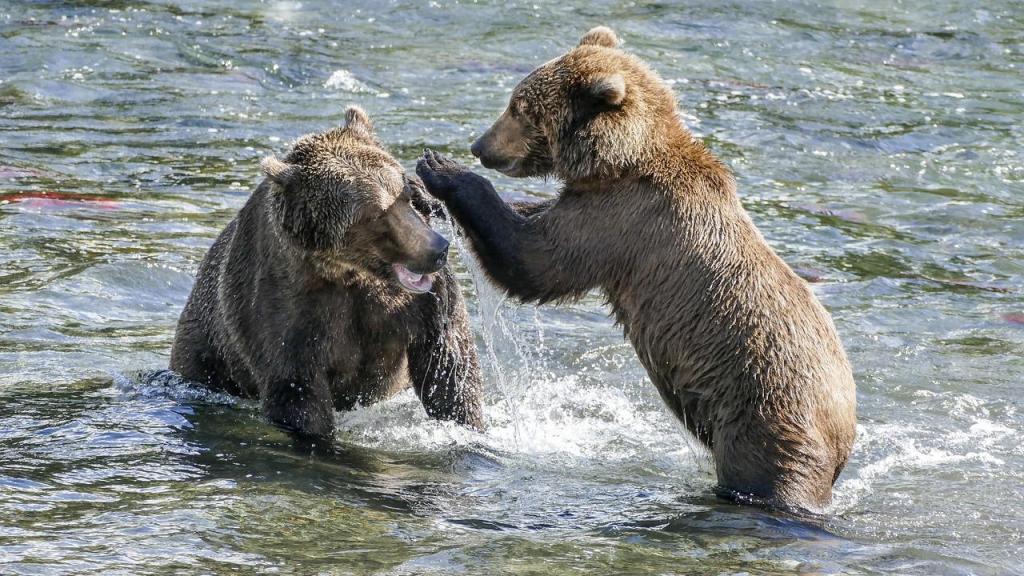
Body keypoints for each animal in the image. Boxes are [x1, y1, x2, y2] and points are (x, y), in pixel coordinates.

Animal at [171, 106, 484, 438]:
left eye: (405, 193)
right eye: (376, 213)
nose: (437, 249)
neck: (348, 271)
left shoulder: (417, 304)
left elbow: (449, 368)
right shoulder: (286, 307)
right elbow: (297, 389)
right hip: (206, 349)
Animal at [416, 27, 856, 513]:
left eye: (521, 108)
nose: (480, 146)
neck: (619, 162)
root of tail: (845, 432)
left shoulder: (622, 221)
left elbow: (536, 260)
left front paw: (441, 170)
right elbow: (534, 220)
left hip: (765, 415)